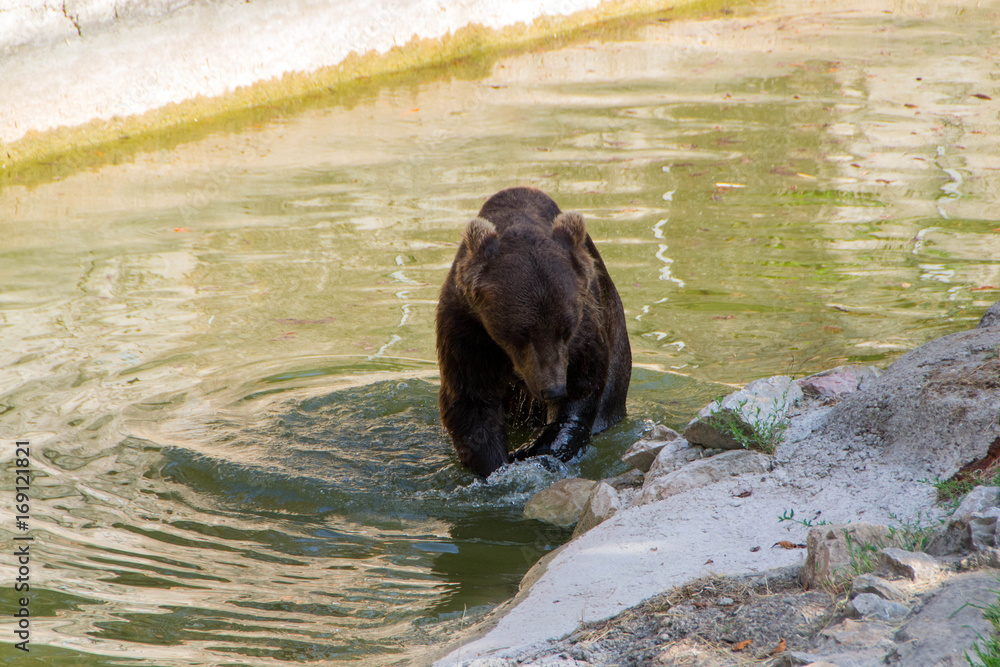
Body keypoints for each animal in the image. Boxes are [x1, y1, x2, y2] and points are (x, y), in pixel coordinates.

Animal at [435, 187, 631, 477]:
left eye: (565, 330)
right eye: (521, 334)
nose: (553, 389)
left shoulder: (585, 318)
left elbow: (583, 387)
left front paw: (536, 450)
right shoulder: (466, 327)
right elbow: (471, 399)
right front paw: (496, 463)